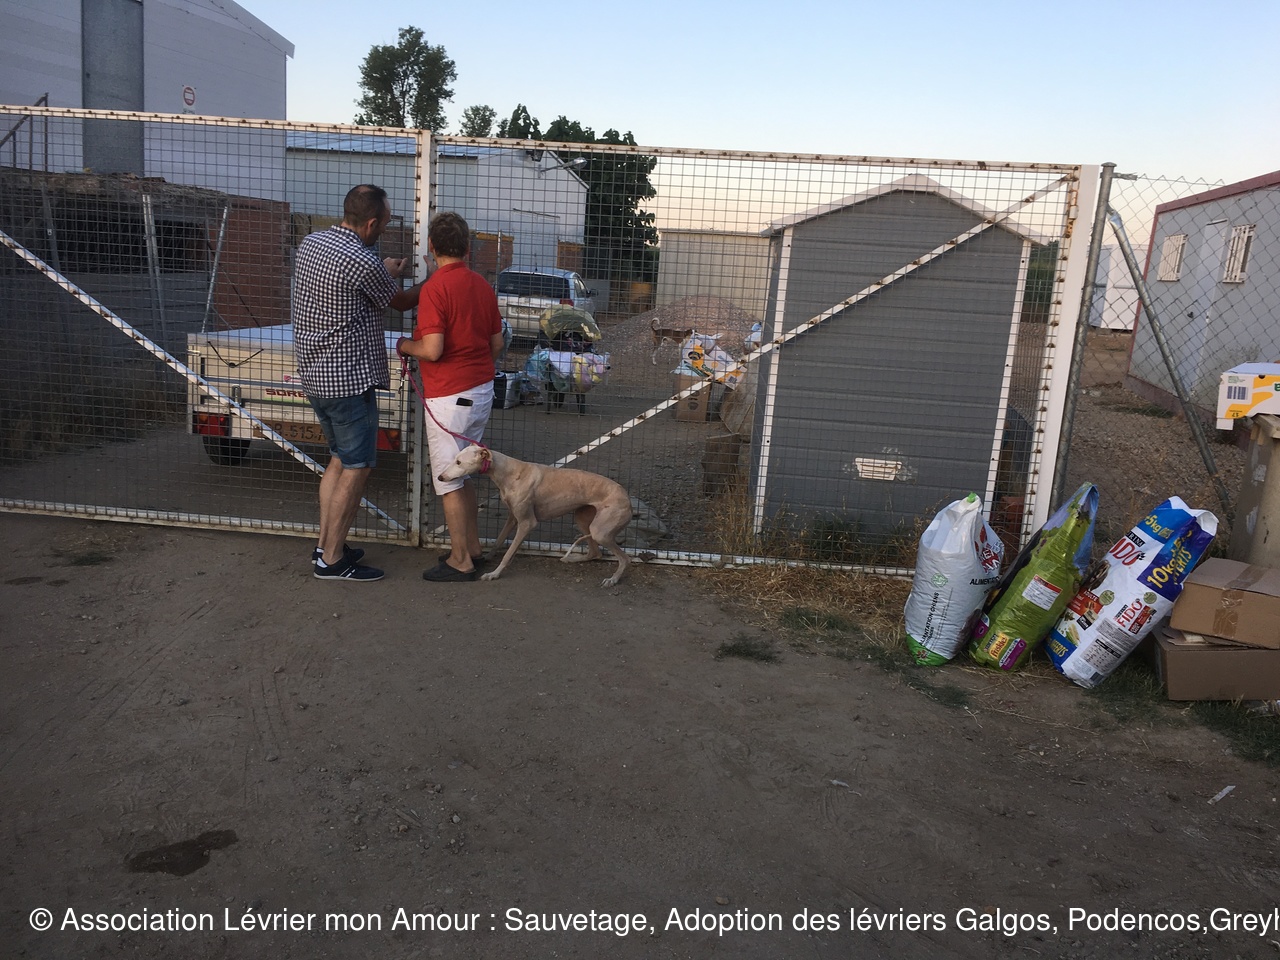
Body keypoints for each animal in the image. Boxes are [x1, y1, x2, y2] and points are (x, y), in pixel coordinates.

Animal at [438, 445, 633, 587]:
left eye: (459, 462)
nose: (440, 478)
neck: (509, 472)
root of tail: (628, 499)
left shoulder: (527, 522)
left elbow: (508, 553)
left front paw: (494, 573)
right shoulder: (513, 517)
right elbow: (499, 540)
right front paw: (486, 557)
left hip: (600, 531)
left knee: (625, 558)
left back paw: (613, 579)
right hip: (583, 518)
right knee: (595, 553)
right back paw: (572, 558)